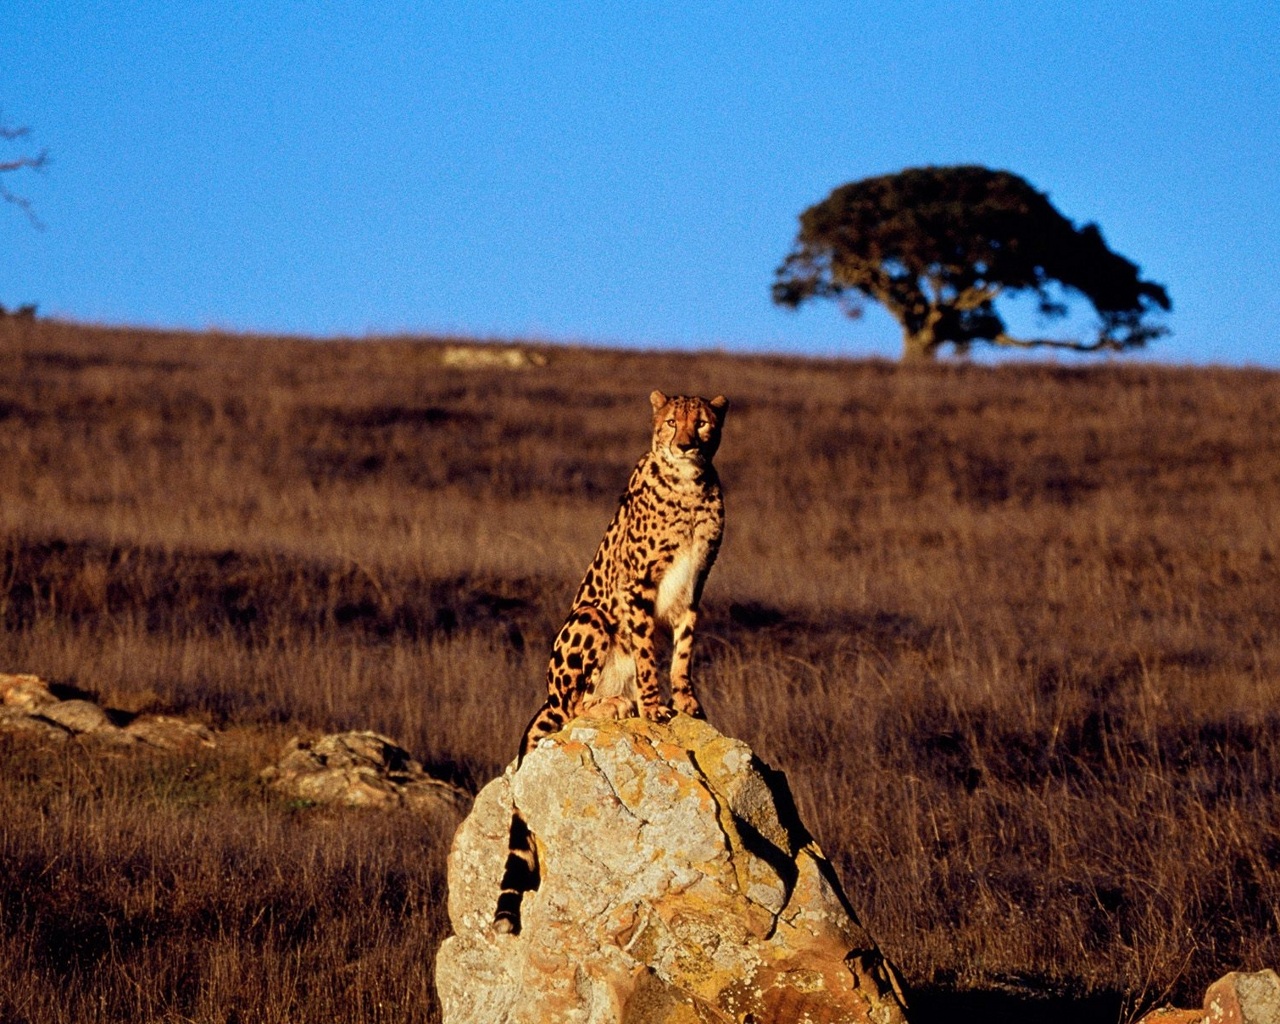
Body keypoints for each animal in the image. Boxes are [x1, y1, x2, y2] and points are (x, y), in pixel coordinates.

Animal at [491, 389, 732, 931]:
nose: (686, 445)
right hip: (590, 618)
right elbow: (646, 652)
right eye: (671, 423)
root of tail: (546, 695)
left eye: (703, 423)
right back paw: (615, 705)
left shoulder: (695, 587)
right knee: (571, 708)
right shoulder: (636, 587)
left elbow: (682, 653)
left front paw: (687, 702)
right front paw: (653, 705)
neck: (690, 488)